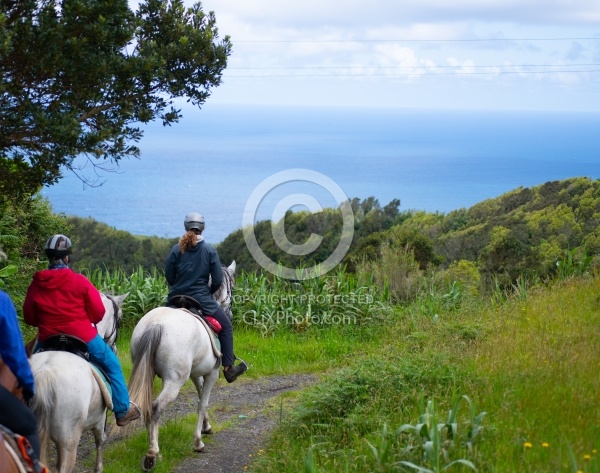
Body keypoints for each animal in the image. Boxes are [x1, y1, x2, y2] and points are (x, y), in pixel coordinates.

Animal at [28, 292, 127, 472]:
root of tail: (45, 374)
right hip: (69, 440)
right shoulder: (100, 419)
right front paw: (99, 468)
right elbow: (100, 441)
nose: (114, 349)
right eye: (119, 318)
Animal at [129, 260, 237, 470]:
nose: (229, 313)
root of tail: (156, 325)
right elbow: (202, 402)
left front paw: (206, 427)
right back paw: (152, 454)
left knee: (148, 407)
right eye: (231, 287)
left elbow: (200, 394)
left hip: (148, 373)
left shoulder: (196, 373)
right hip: (174, 381)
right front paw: (198, 442)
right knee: (156, 407)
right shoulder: (212, 373)